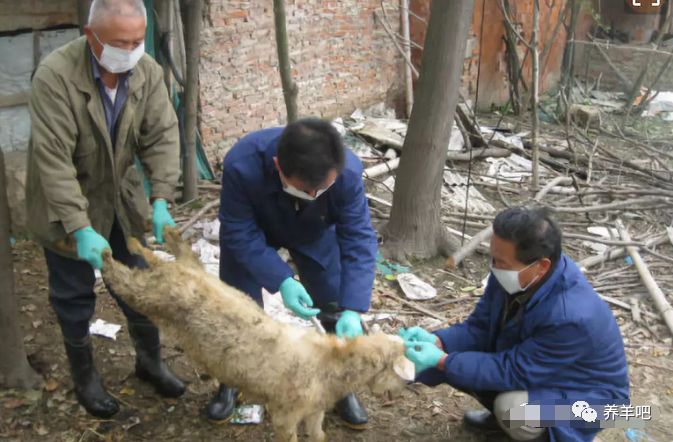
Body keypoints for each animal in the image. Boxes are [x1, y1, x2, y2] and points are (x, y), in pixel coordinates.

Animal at [101, 228, 412, 442]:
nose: (400, 390)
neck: (329, 362)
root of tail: (171, 270)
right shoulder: (286, 416)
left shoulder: (315, 411)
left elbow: (318, 435)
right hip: (150, 295)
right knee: (122, 279)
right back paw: (101, 251)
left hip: (181, 273)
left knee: (181, 254)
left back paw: (156, 235)